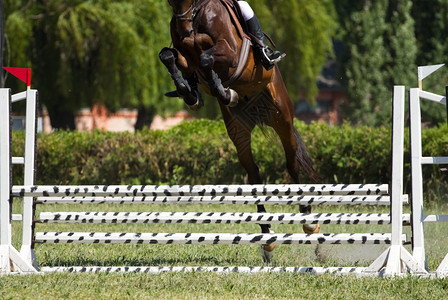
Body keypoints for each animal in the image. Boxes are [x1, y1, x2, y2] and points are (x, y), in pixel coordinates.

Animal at [159, 0, 320, 262]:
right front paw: (190, 92)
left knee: (292, 164)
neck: (196, 15)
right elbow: (168, 55)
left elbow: (206, 58)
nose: (184, 29)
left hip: (282, 119)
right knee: (253, 174)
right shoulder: (185, 56)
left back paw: (308, 222)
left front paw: (221, 88)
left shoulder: (229, 52)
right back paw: (267, 237)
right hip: (239, 131)